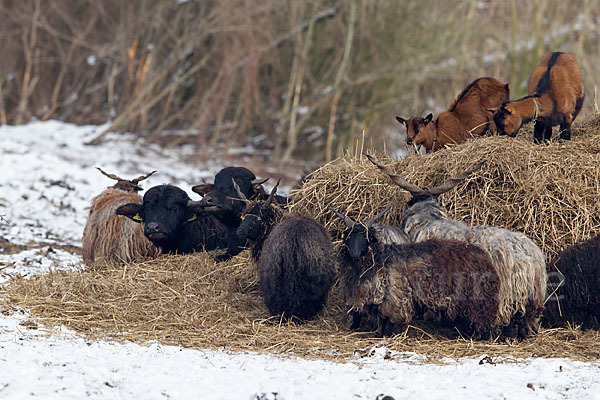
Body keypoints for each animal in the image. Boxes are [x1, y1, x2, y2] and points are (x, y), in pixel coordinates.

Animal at [330, 206, 500, 338]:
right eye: (348, 237)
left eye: (366, 238)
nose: (355, 254)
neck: (379, 258)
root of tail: (484, 256)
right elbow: (380, 320)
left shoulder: (394, 296)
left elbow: (389, 320)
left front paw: (387, 336)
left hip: (479, 298)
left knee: (484, 322)